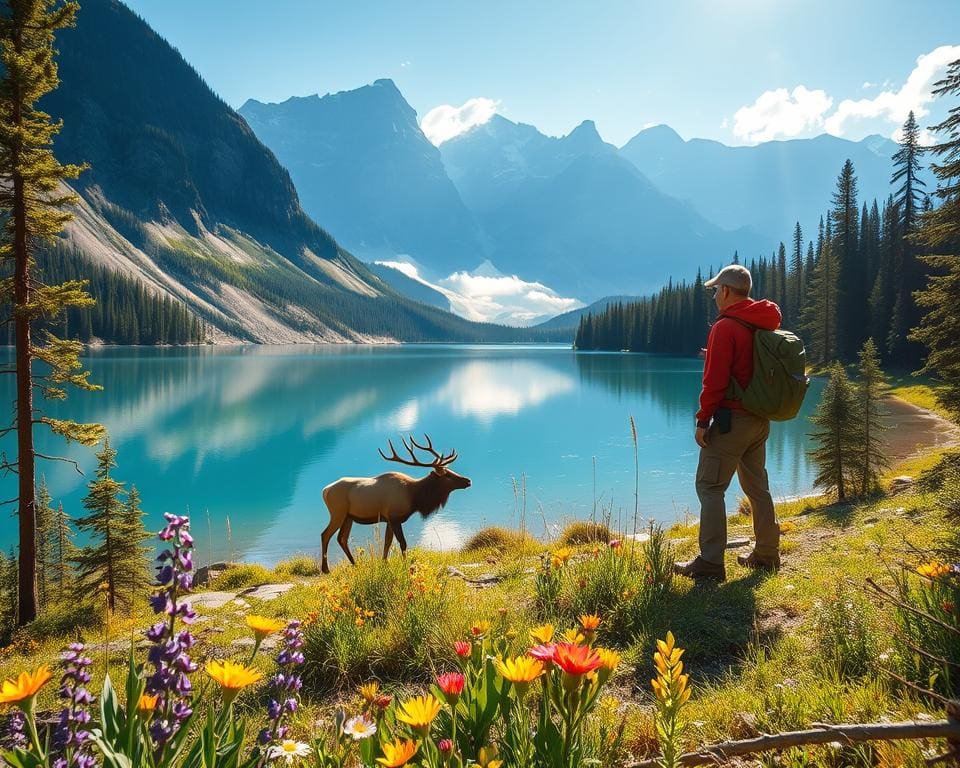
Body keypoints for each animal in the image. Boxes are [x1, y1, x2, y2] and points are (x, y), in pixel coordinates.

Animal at [320, 436, 470, 572]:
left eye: (451, 471)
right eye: (448, 475)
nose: (468, 481)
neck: (415, 497)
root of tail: (325, 491)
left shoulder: (388, 519)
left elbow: (387, 542)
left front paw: (384, 563)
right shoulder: (395, 517)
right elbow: (403, 543)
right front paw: (405, 565)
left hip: (348, 516)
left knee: (342, 538)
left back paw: (355, 564)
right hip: (338, 512)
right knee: (325, 534)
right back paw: (326, 569)